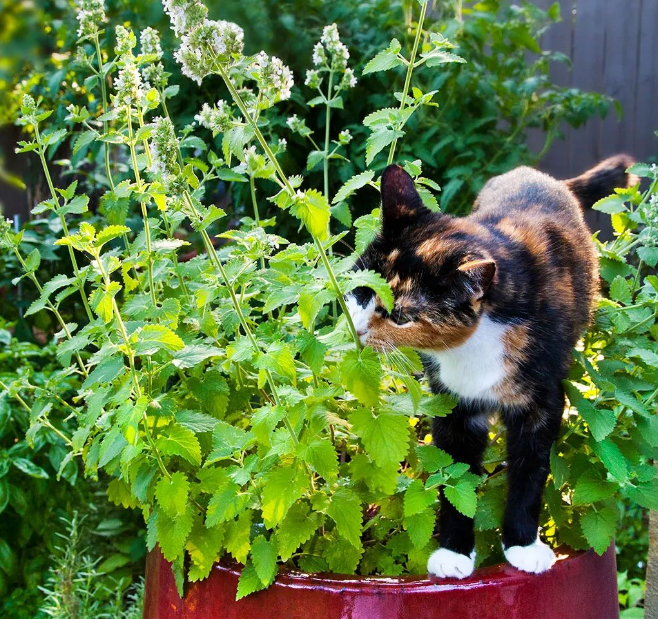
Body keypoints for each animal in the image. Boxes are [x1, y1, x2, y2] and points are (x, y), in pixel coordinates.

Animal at [348, 156, 636, 580]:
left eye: (401, 317)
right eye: (361, 290)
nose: (358, 330)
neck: (477, 342)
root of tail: (539, 176)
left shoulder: (544, 401)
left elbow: (531, 471)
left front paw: (524, 546)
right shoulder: (453, 403)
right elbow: (455, 475)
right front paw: (453, 552)